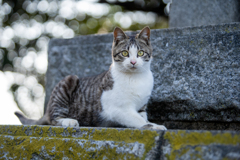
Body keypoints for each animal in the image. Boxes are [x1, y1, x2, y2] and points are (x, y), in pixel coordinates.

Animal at [15, 26, 167, 130]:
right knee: (54, 118)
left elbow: (143, 118)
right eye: (125, 53)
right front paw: (155, 126)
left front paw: (152, 123)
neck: (136, 78)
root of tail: (46, 111)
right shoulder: (118, 109)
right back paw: (69, 121)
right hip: (68, 81)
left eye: (140, 53)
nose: (133, 62)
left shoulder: (142, 107)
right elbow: (140, 121)